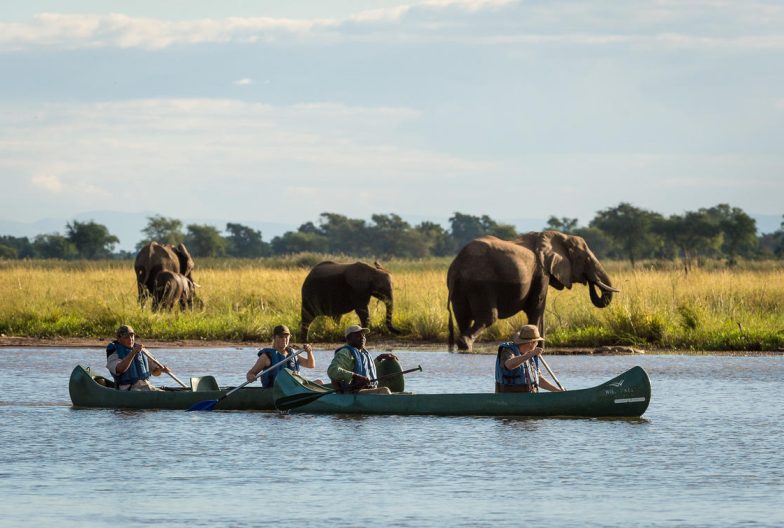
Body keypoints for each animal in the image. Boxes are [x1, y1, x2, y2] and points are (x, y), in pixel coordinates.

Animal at [448, 230, 620, 350]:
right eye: (586, 259)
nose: (590, 281)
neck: (558, 236)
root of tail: (459, 264)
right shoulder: (541, 272)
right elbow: (537, 307)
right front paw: (538, 348)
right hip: (481, 283)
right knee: (488, 317)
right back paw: (465, 344)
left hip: (459, 285)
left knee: (462, 316)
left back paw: (463, 345)